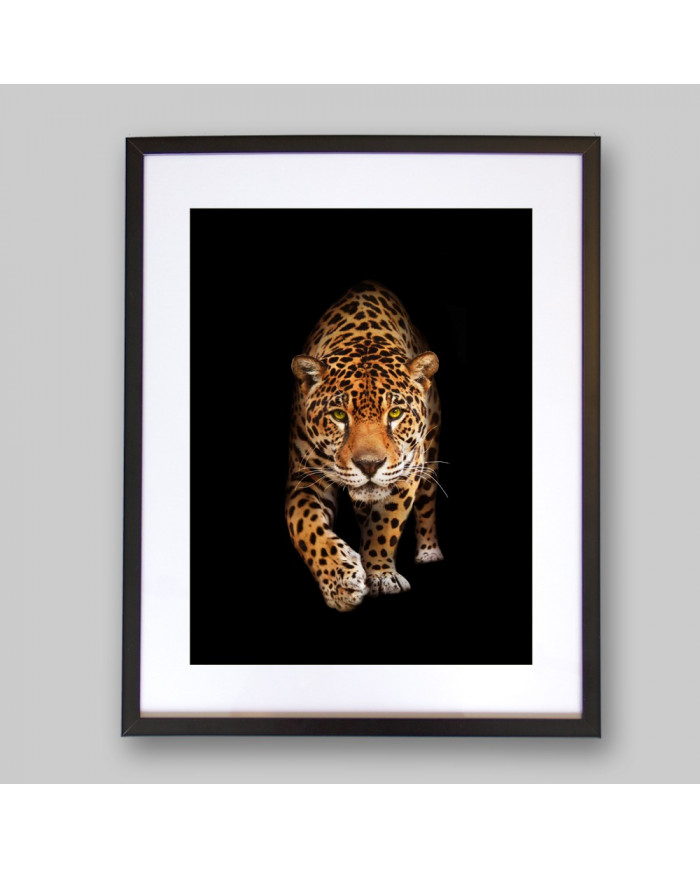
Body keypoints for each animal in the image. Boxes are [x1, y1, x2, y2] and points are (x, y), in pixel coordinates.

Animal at [286, 280, 443, 612]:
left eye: (395, 414)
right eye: (338, 415)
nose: (369, 464)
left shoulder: (408, 470)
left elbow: (386, 524)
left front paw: (381, 575)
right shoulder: (304, 477)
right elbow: (306, 527)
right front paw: (341, 583)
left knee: (426, 503)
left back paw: (429, 552)